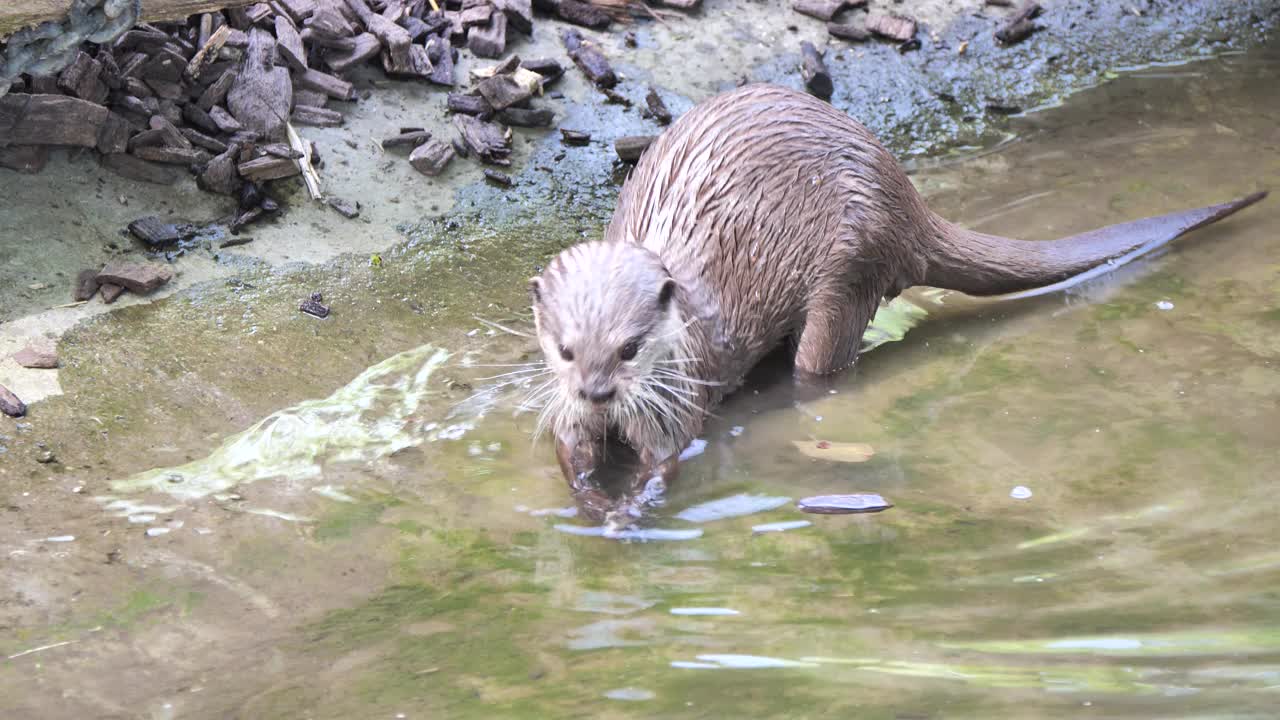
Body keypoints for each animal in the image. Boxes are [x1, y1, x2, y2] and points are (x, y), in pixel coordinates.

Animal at [527, 83, 1259, 525]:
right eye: (567, 350)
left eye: (630, 347)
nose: (596, 391)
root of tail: (905, 197)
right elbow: (570, 449)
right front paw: (588, 495)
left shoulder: (680, 393)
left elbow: (667, 457)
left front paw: (633, 505)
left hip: (850, 265)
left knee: (818, 362)